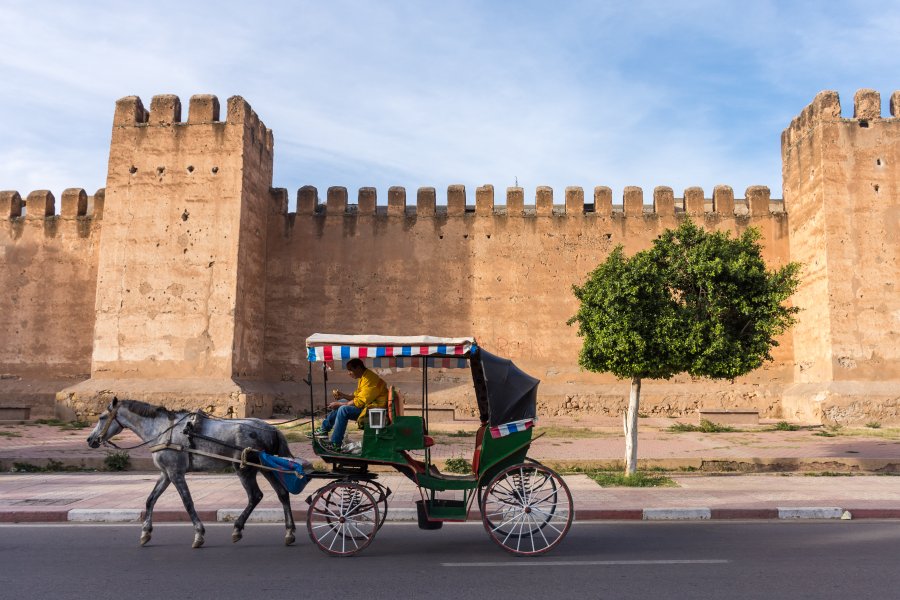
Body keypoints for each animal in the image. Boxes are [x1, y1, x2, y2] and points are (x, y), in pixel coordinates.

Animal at [85, 398, 296, 548]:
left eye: (102, 417)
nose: (90, 439)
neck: (163, 430)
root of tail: (271, 429)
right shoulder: (166, 473)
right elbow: (150, 500)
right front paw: (145, 532)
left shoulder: (176, 473)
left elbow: (187, 503)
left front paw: (199, 534)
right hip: (265, 467)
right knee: (282, 493)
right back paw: (289, 532)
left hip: (245, 468)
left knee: (255, 496)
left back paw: (237, 529)